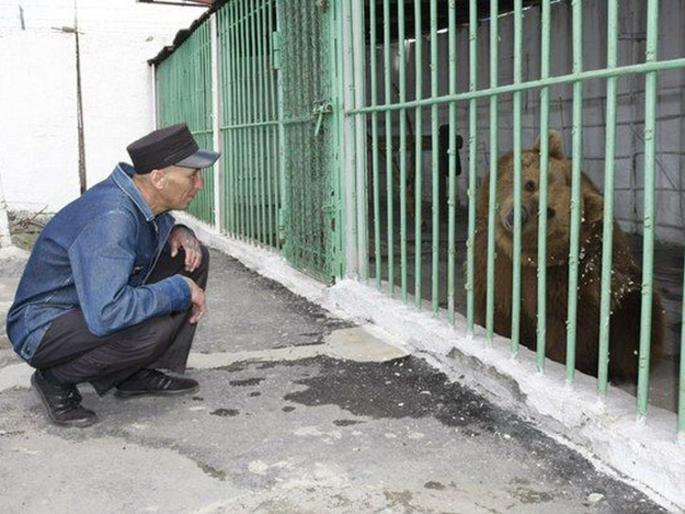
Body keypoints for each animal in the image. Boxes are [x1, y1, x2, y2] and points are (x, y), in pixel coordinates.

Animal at [472, 130, 664, 383]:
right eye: (530, 184)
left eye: (549, 211)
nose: (518, 215)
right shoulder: (492, 262)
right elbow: (495, 305)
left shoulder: (566, 285)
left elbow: (565, 332)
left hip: (628, 303)